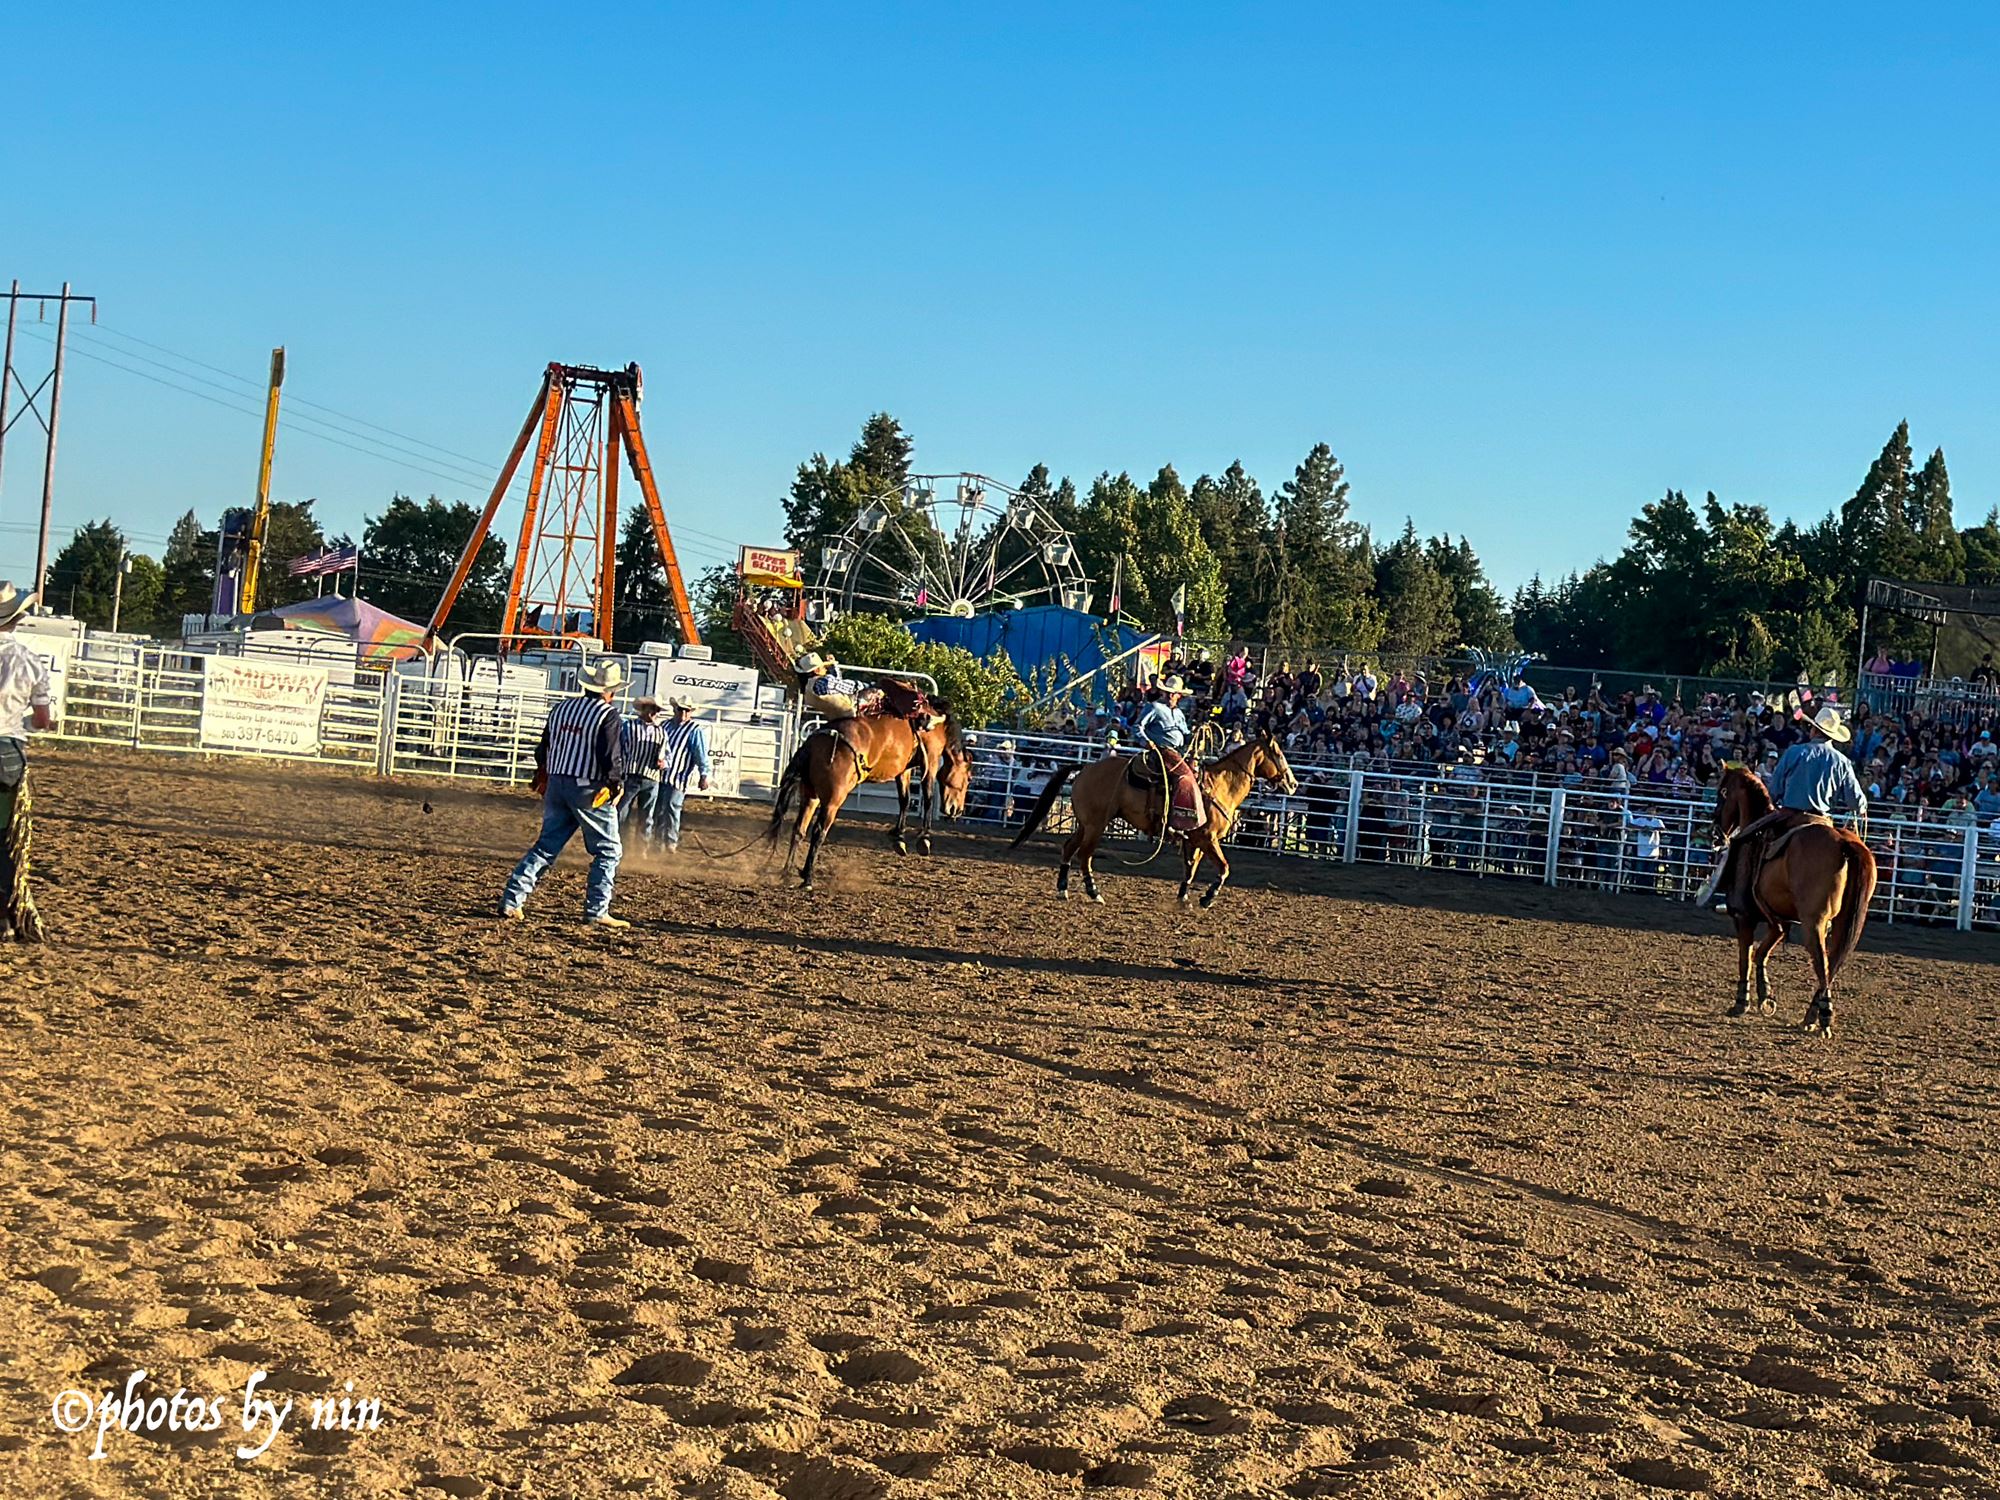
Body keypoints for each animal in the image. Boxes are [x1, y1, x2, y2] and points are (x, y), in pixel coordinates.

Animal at [764, 708, 968, 888]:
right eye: (968, 776)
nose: (957, 810)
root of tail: (814, 741)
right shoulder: (930, 761)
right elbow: (928, 798)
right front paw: (924, 839)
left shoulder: (904, 769)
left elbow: (905, 799)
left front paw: (899, 837)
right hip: (832, 801)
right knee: (818, 832)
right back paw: (807, 878)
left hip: (810, 795)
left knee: (799, 829)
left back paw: (786, 872)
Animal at [1016, 736, 1296, 912]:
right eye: (1279, 754)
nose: (1293, 784)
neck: (1219, 786)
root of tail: (1086, 768)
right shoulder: (1208, 838)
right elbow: (1224, 868)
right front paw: (1207, 898)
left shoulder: (1193, 840)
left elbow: (1190, 870)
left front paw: (1184, 898)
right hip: (1096, 825)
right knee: (1084, 855)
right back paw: (1094, 893)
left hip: (1086, 824)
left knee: (1068, 848)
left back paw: (1062, 889)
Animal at [1720, 768, 1872, 1040]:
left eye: (1721, 792)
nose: (1716, 827)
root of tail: (1844, 842)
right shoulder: (1779, 922)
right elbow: (1761, 952)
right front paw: (1765, 996)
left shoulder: (1744, 916)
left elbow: (1745, 956)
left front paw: (1741, 1002)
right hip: (1842, 923)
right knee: (1832, 963)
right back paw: (1811, 1017)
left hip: (1814, 922)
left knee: (1822, 963)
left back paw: (1824, 1017)